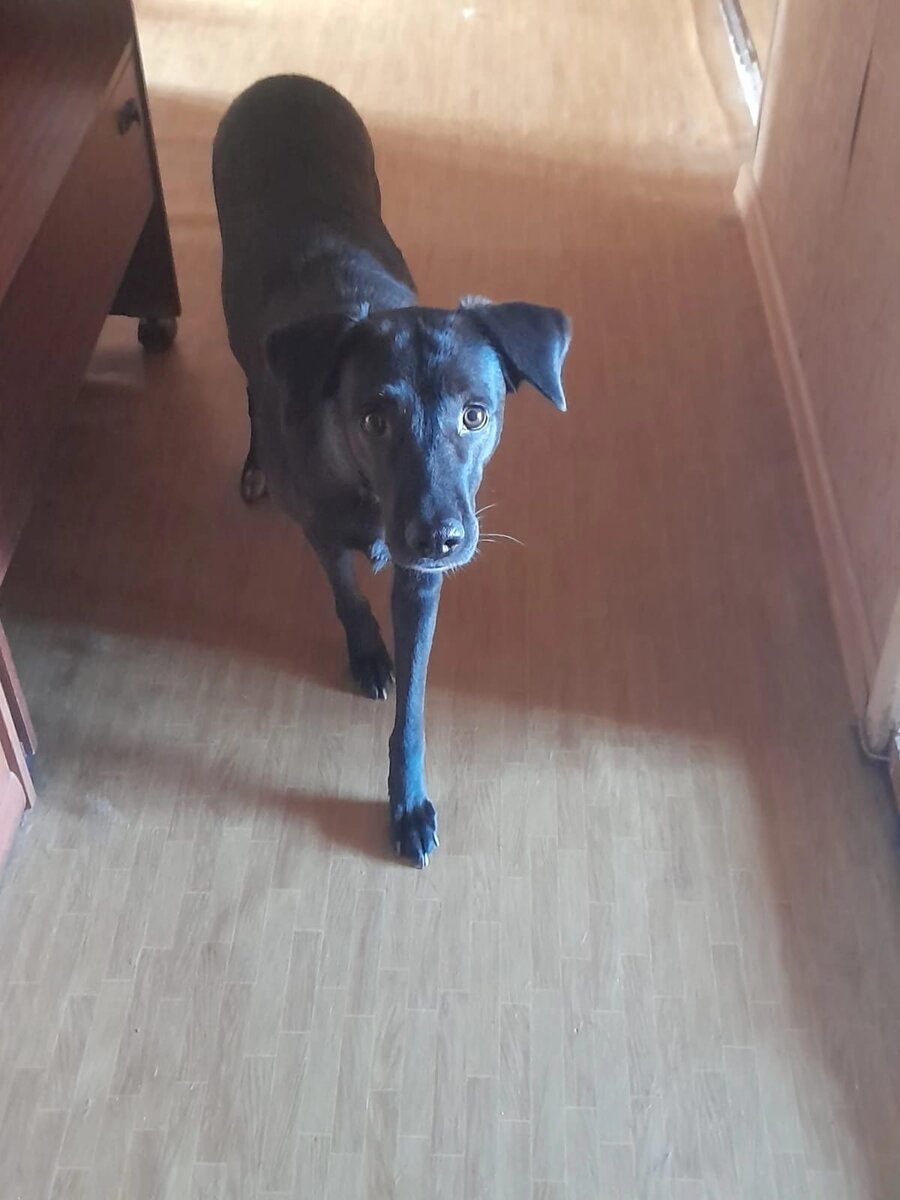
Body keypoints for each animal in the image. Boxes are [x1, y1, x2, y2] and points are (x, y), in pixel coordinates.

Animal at [213, 75, 571, 866]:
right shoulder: (321, 531)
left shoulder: (422, 581)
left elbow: (413, 710)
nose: (441, 538)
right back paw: (251, 461)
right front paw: (368, 652)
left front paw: (405, 803)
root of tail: (283, 79)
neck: (367, 489)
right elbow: (346, 594)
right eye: (374, 419)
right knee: (248, 384)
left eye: (477, 414)